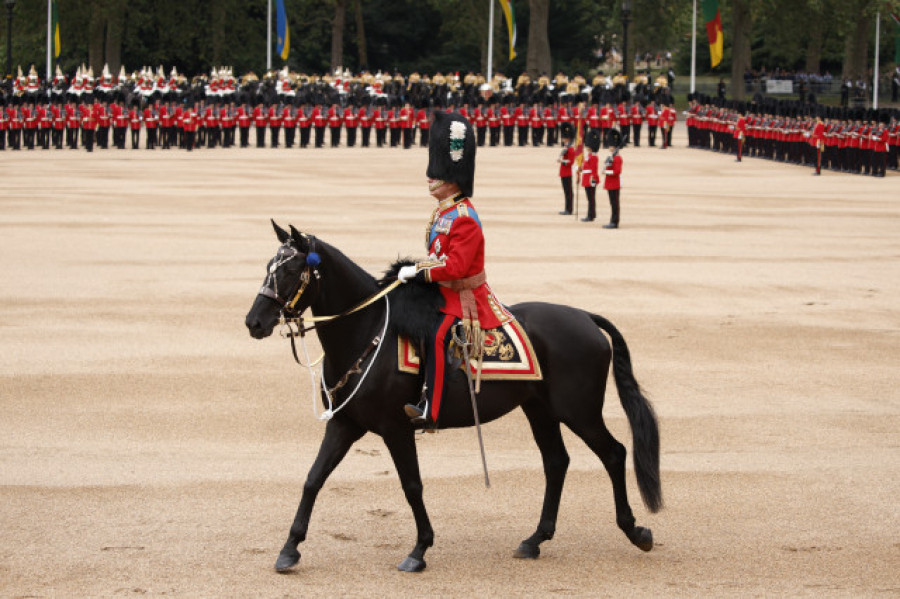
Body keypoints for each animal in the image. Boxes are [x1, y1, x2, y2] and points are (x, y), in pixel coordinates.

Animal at [244, 223, 660, 576]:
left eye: (291, 271)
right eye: (268, 268)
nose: (254, 322)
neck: (365, 331)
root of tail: (585, 317)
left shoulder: (396, 427)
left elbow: (412, 485)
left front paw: (419, 550)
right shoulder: (345, 424)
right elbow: (313, 478)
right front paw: (290, 548)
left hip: (578, 411)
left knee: (614, 453)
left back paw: (635, 530)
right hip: (540, 410)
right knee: (557, 462)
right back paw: (535, 540)